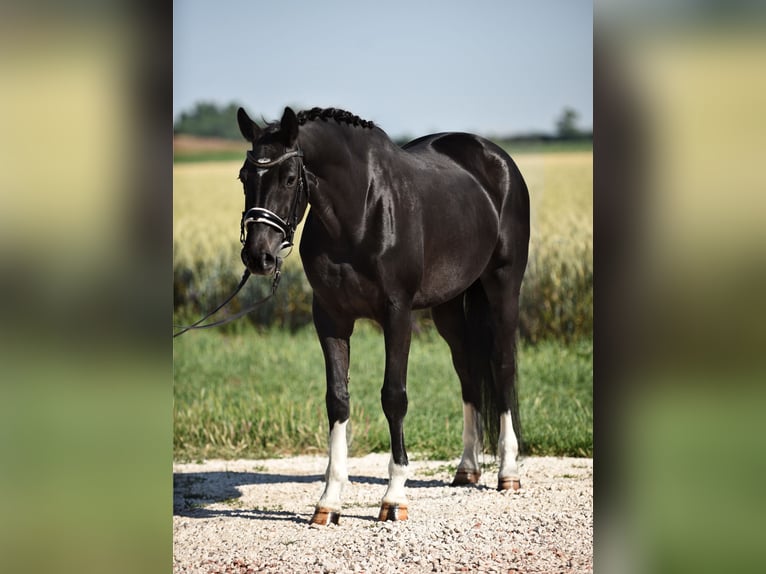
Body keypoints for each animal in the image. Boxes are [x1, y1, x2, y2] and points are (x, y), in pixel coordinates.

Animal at [237, 106, 532, 524]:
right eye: (244, 177)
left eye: (290, 177)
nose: (258, 257)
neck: (359, 212)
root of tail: (495, 158)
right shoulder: (330, 317)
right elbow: (337, 399)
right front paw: (329, 501)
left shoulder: (397, 315)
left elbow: (394, 397)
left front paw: (394, 498)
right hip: (448, 306)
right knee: (468, 373)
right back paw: (467, 468)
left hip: (503, 286)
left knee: (503, 367)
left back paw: (508, 473)